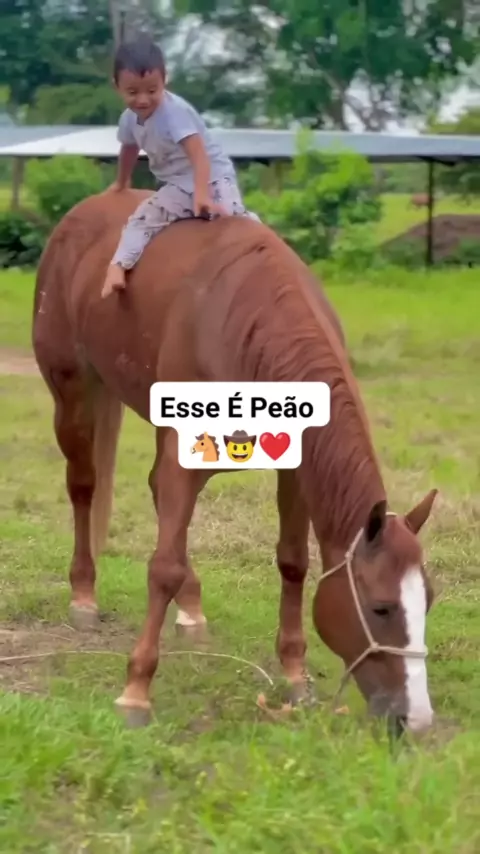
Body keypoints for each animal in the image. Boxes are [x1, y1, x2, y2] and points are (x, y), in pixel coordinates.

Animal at [32, 188, 438, 734]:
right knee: (84, 486)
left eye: (428, 601)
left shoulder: (295, 468)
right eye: (381, 609)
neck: (248, 327)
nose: (416, 719)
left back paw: (191, 611)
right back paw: (84, 596)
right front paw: (135, 691)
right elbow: (162, 566)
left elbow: (293, 562)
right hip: (72, 391)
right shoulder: (184, 451)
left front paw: (295, 674)